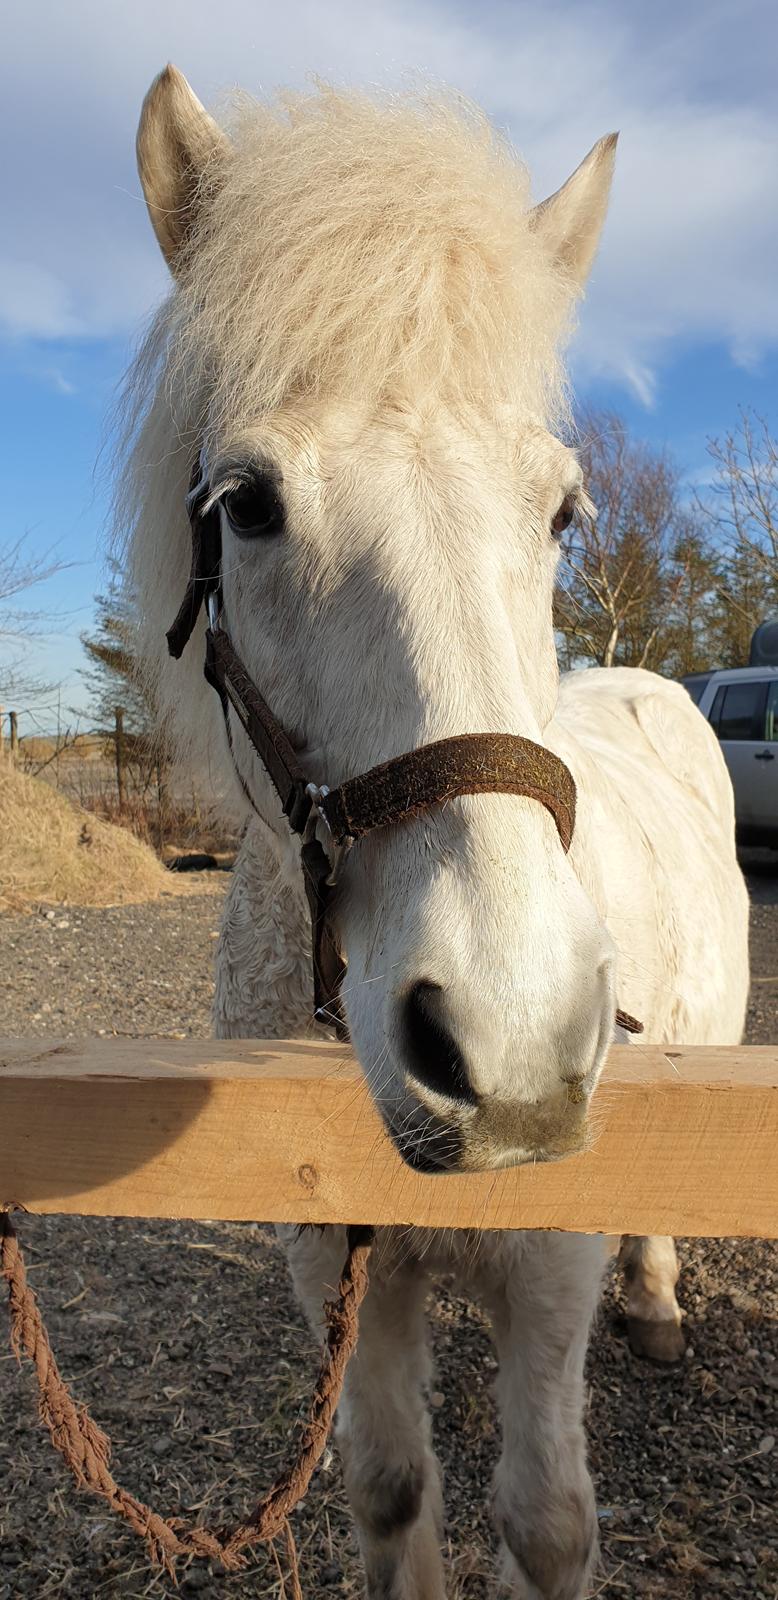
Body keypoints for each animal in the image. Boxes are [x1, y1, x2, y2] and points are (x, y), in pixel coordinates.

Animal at [120, 72, 749, 1600]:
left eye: (563, 511)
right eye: (246, 504)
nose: (507, 1041)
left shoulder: (552, 1261)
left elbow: (548, 1517)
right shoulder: (330, 1256)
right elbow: (393, 1489)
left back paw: (657, 1299)